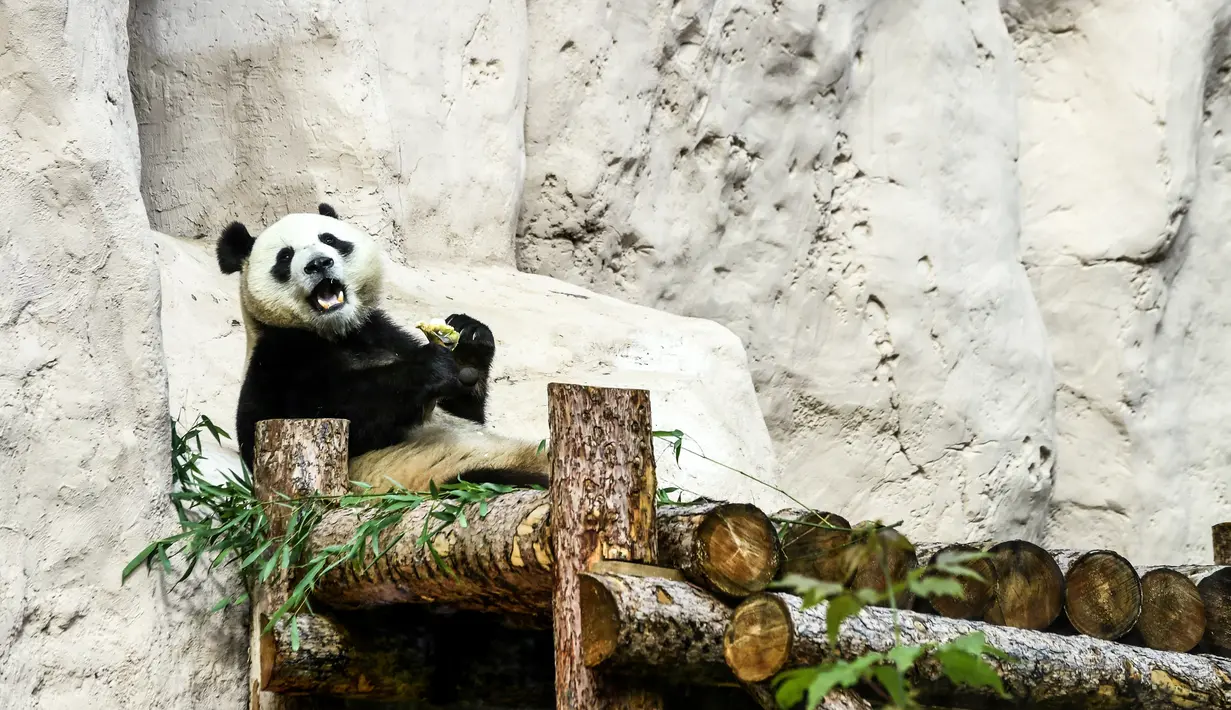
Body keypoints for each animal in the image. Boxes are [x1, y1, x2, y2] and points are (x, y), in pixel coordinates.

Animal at [215, 202, 550, 493]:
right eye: (285, 257)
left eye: (330, 239)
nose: (319, 263)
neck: (337, 333)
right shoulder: (277, 359)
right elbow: (326, 412)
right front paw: (429, 368)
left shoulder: (383, 333)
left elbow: (465, 411)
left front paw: (470, 336)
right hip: (450, 477)